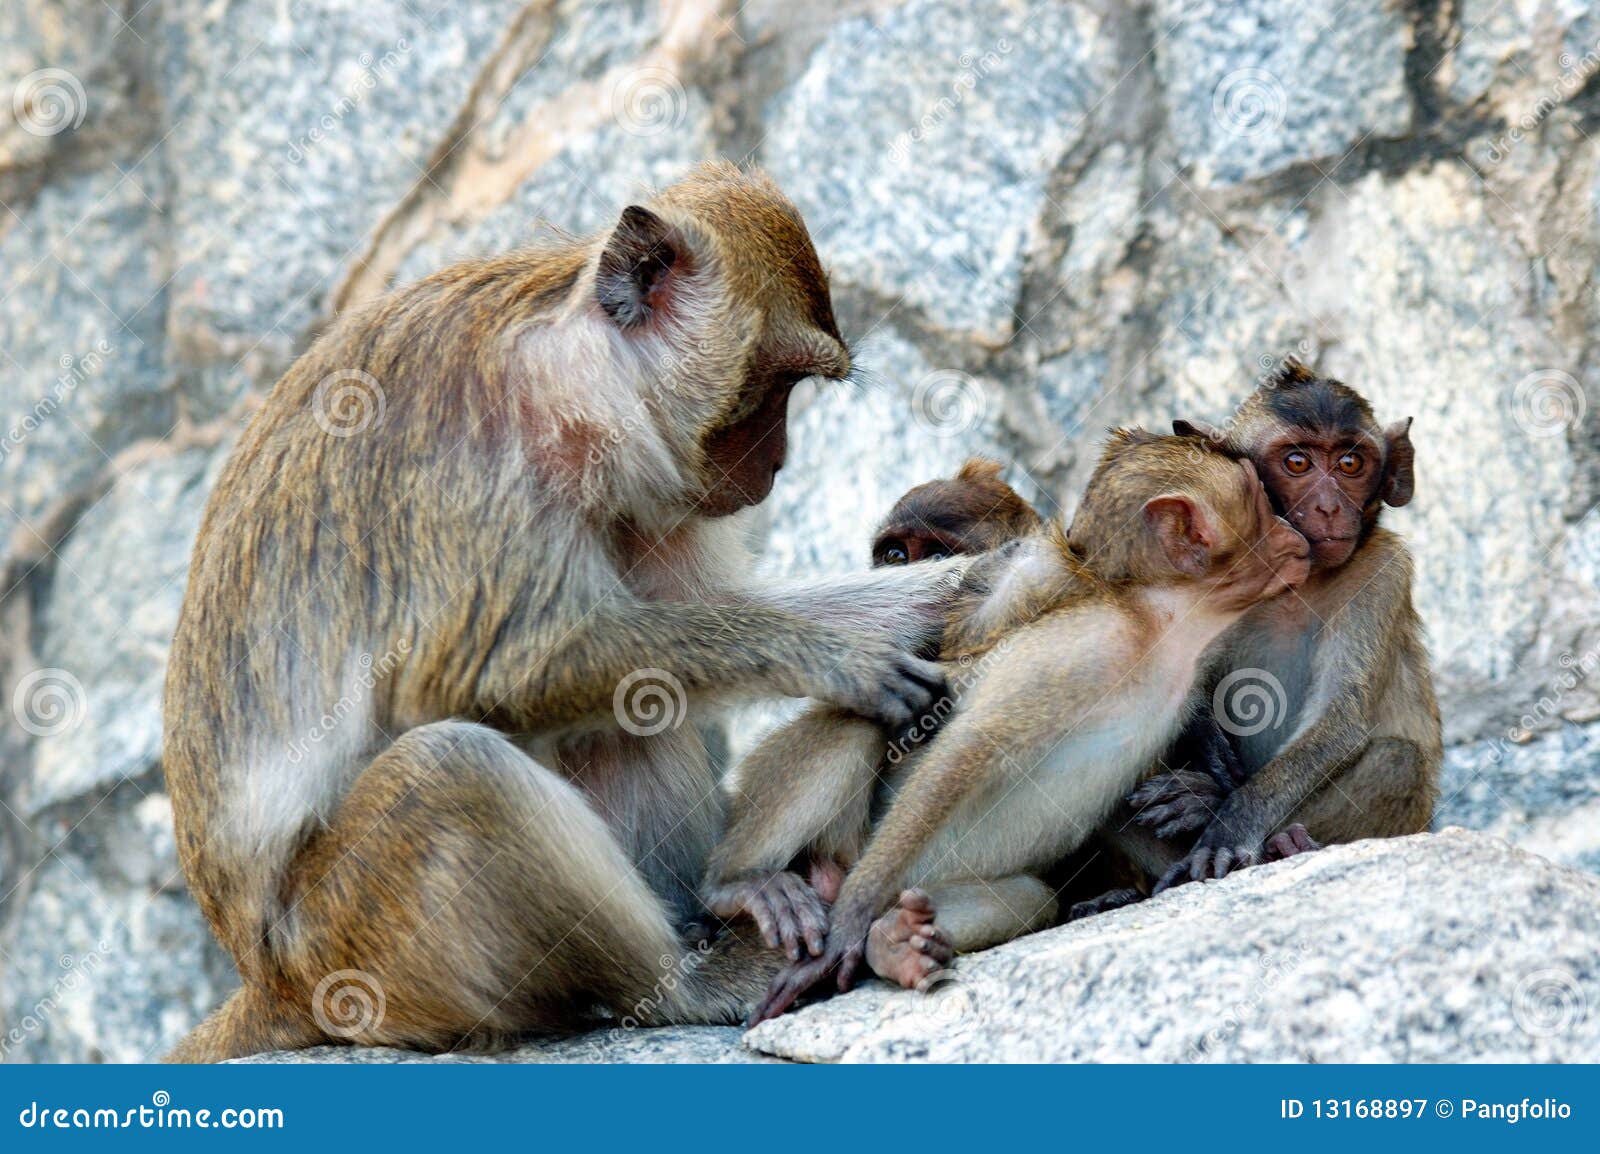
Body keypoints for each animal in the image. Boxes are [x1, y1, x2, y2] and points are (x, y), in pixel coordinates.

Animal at [160, 163, 975, 1062]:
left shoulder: (645, 500)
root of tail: (265, 976)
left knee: (627, 712)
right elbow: (491, 671)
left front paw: (960, 584)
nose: (779, 461)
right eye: (776, 385)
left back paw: (730, 902)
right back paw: (685, 983)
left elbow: (695, 615)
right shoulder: (476, 459)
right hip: (352, 947)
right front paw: (830, 658)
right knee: (451, 769)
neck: (559, 373)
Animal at [739, 430, 1313, 1021]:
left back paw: (893, 941)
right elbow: (965, 752)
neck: (1160, 625)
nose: (1293, 532)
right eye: (1260, 504)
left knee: (1029, 897)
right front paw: (848, 924)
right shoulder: (1079, 647)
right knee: (857, 728)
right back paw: (746, 886)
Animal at [1108, 358, 1440, 896]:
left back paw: (1263, 834)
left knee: (1398, 761)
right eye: (1298, 463)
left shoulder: (1382, 572)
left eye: (1351, 464)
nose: (1329, 507)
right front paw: (1203, 739)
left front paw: (1228, 823)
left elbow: (1339, 721)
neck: (1295, 584)